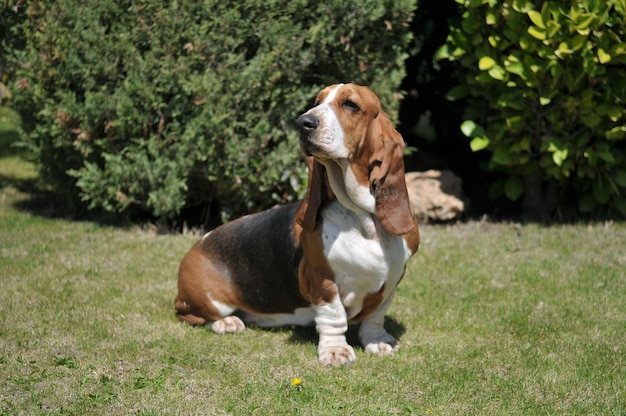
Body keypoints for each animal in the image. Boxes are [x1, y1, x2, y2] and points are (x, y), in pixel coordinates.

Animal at [174, 83, 420, 366]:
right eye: (317, 101)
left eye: (351, 105)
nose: (303, 123)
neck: (363, 218)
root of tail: (193, 250)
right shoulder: (321, 280)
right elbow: (334, 316)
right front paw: (335, 351)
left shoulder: (391, 281)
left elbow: (376, 316)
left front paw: (378, 342)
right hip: (209, 301)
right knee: (190, 314)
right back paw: (226, 323)